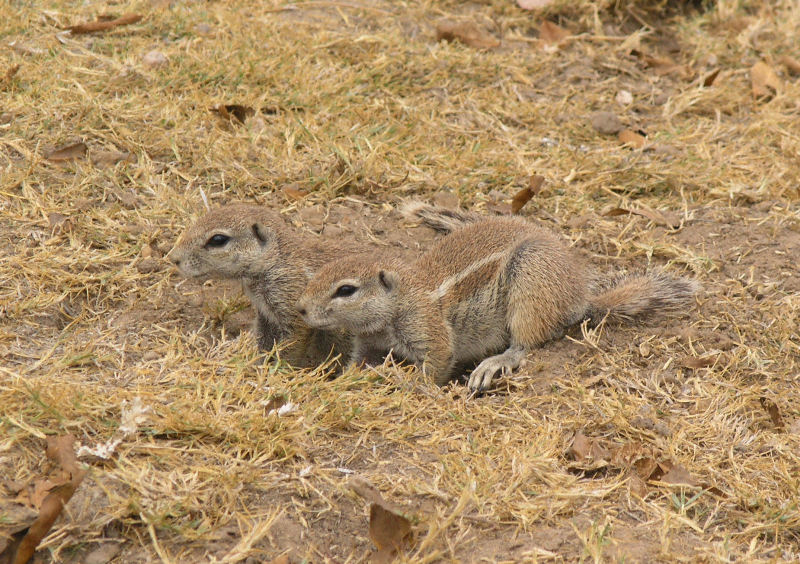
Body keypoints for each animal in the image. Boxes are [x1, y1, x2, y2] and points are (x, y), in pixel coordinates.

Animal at [166, 203, 472, 366]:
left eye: (218, 239)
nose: (172, 258)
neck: (278, 261)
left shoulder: (291, 305)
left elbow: (293, 344)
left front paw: (280, 370)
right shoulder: (266, 314)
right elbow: (264, 341)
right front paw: (258, 361)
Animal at [296, 212, 700, 392]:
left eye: (346, 290)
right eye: (319, 274)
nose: (301, 308)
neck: (400, 299)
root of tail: (579, 299)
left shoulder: (428, 329)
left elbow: (435, 367)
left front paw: (402, 381)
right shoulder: (367, 343)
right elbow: (357, 363)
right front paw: (336, 380)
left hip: (530, 288)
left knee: (525, 346)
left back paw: (494, 363)